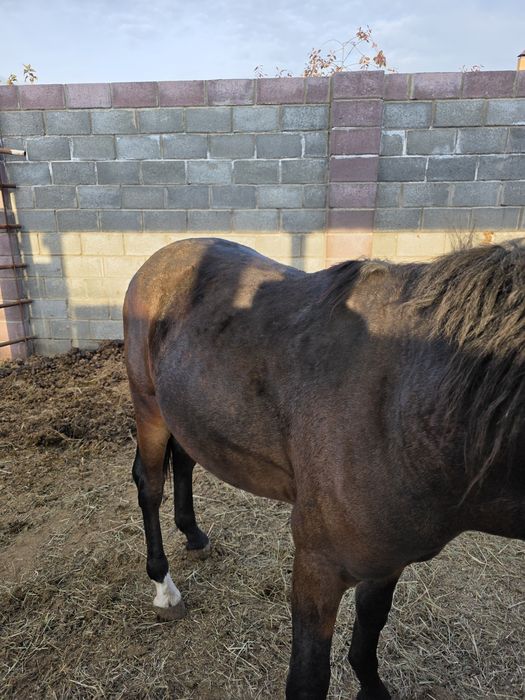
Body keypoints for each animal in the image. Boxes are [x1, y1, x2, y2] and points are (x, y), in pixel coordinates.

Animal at [123, 237, 525, 699]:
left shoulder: (388, 562)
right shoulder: (319, 568)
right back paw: (164, 589)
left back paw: (194, 535)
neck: (398, 408)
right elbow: (308, 678)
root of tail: (160, 258)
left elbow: (369, 633)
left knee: (185, 462)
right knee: (150, 486)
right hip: (150, 407)